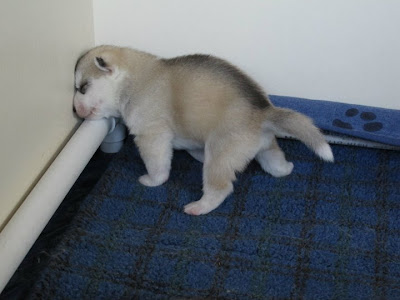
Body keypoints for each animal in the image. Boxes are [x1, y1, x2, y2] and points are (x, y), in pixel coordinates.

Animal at [73, 45, 332, 216]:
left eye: (83, 88)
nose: (74, 109)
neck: (133, 81)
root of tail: (262, 112)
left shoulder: (151, 136)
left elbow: (158, 165)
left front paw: (152, 180)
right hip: (264, 146)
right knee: (275, 160)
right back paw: (285, 169)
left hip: (220, 154)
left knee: (221, 188)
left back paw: (199, 206)